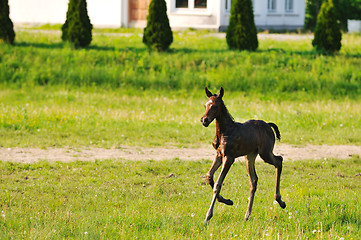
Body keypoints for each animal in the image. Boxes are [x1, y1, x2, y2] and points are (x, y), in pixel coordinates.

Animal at [198, 87, 286, 223]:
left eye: (215, 106)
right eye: (205, 105)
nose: (204, 120)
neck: (224, 131)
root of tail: (268, 124)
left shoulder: (229, 158)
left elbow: (218, 183)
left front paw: (208, 216)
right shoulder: (219, 155)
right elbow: (209, 176)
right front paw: (227, 201)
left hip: (265, 153)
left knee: (279, 161)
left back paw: (280, 201)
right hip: (250, 156)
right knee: (254, 180)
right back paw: (247, 215)